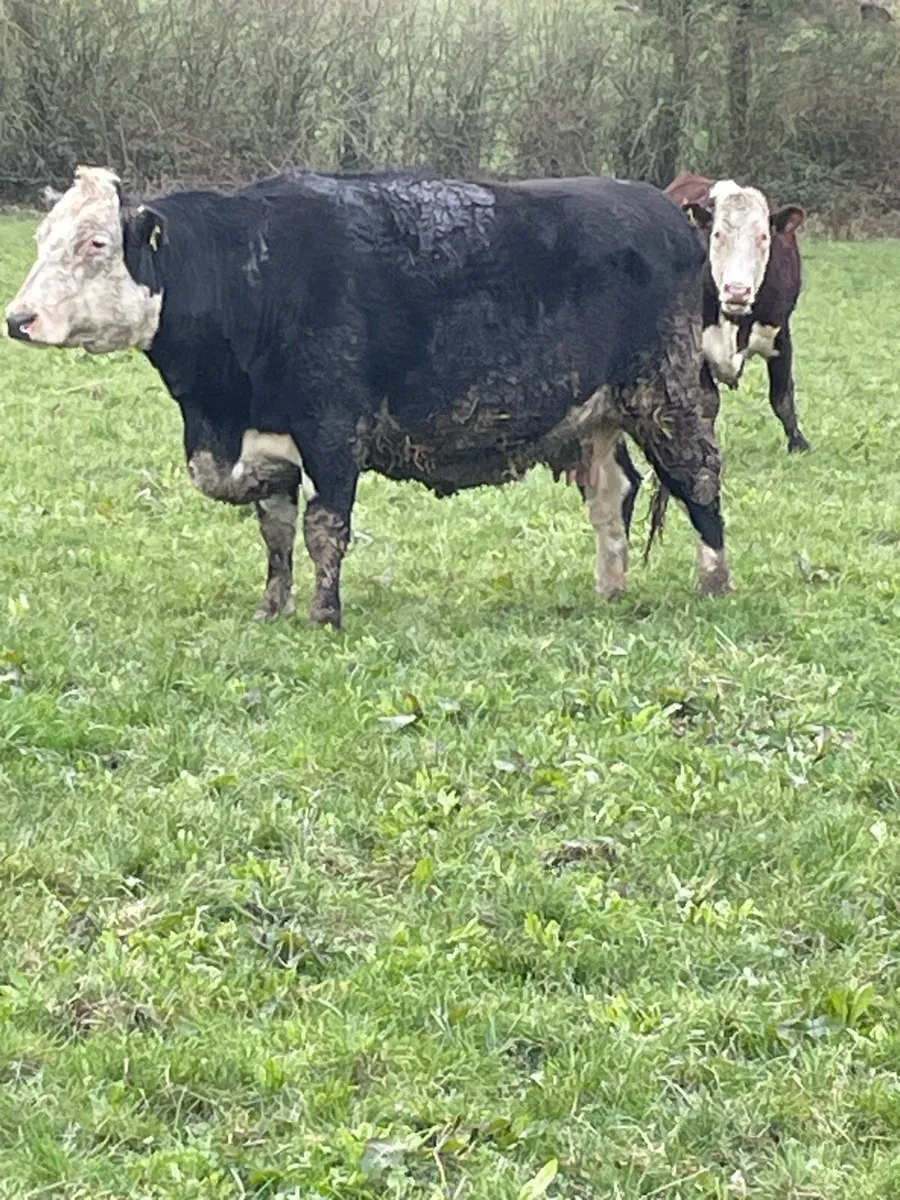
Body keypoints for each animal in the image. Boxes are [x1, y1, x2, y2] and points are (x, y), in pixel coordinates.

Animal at [6, 166, 732, 627]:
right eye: (42, 240)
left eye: (96, 242)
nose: (18, 318)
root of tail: (662, 210)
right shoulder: (266, 442)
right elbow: (275, 531)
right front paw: (272, 609)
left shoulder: (332, 430)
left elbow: (325, 529)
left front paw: (325, 615)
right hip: (598, 413)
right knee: (614, 493)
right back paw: (610, 590)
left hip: (666, 392)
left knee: (698, 479)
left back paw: (713, 583)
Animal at [665, 171, 809, 453]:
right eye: (717, 234)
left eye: (763, 237)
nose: (737, 291)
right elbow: (707, 403)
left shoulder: (780, 333)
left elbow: (782, 396)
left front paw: (798, 443)